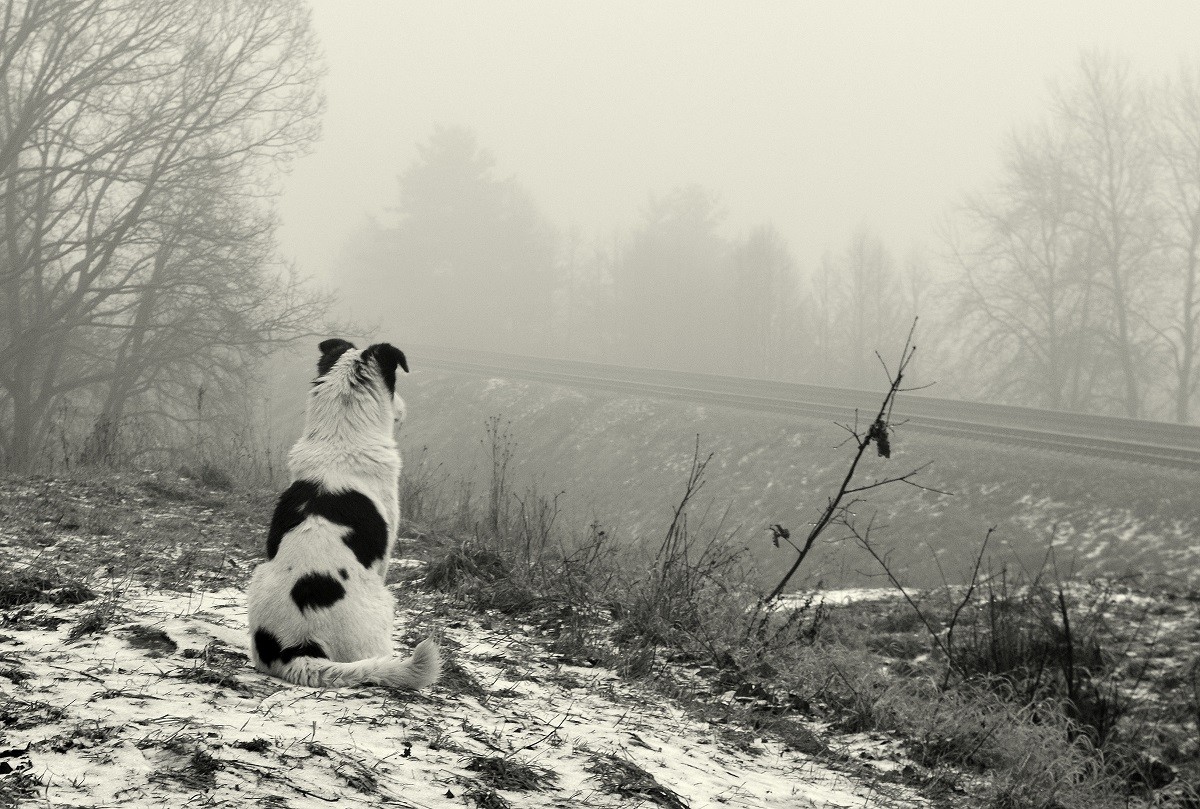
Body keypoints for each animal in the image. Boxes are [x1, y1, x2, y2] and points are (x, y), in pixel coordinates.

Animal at [247, 338, 441, 686]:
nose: (404, 409)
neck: (340, 438)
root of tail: (296, 650)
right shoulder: (385, 556)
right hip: (382, 603)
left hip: (258, 576)